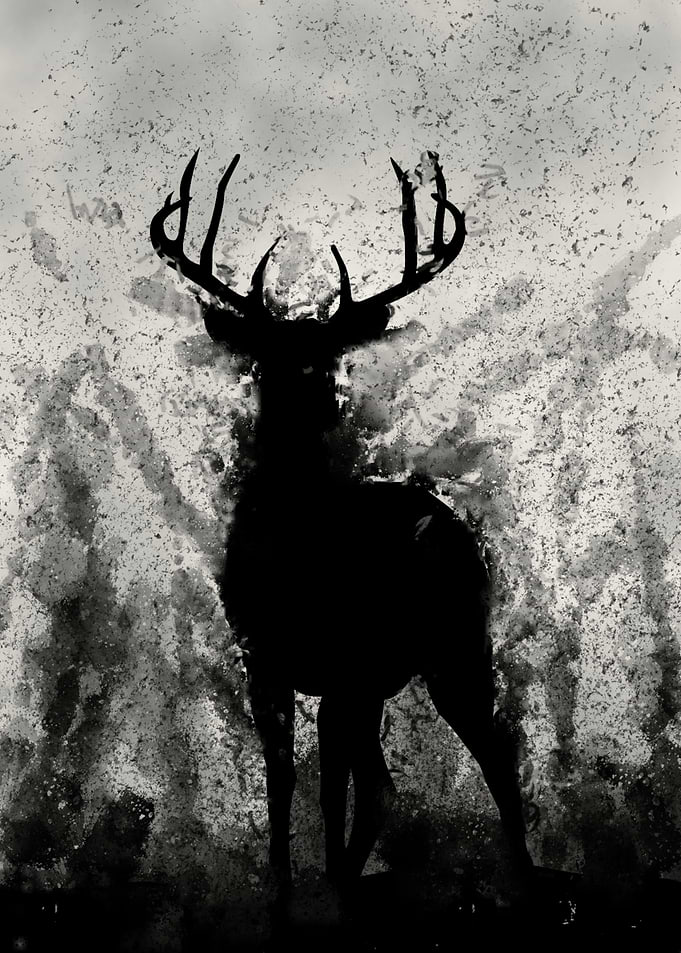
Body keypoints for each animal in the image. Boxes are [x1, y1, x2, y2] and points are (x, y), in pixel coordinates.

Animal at [150, 149, 533, 897]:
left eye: (328, 349)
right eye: (265, 349)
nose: (310, 385)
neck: (295, 542)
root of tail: (454, 527)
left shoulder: (341, 661)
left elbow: (328, 792)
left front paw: (326, 886)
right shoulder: (265, 658)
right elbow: (283, 785)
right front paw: (285, 891)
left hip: (455, 645)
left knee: (493, 760)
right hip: (394, 671)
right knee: (385, 785)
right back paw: (355, 878)